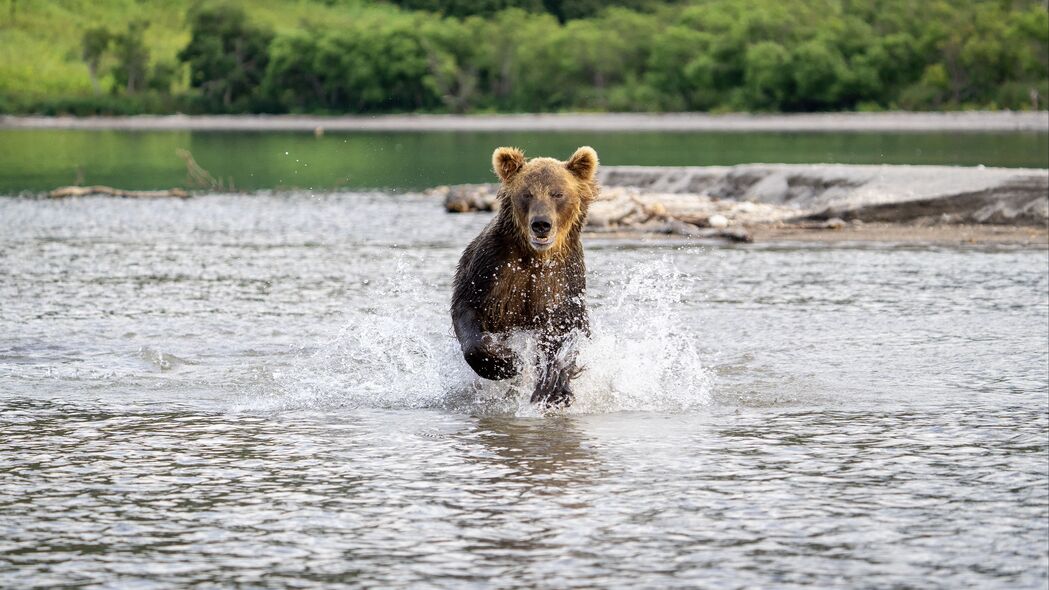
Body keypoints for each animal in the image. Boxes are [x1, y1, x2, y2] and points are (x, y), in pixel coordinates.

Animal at [451, 144, 600, 407]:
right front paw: (507, 363)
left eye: (557, 194)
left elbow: (565, 333)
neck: (535, 257)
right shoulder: (491, 268)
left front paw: (553, 387)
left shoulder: (563, 282)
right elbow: (467, 311)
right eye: (527, 193)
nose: (541, 224)